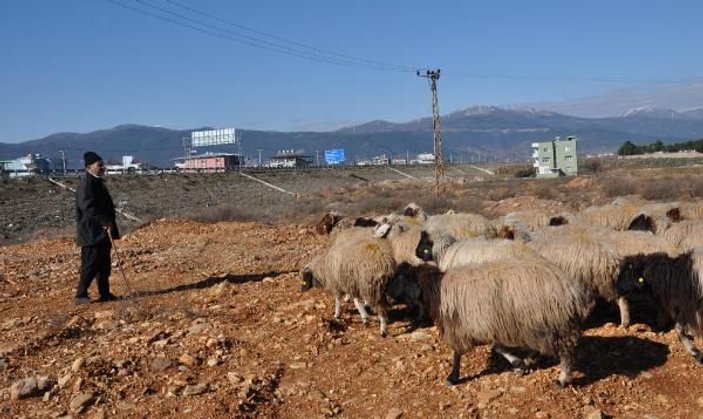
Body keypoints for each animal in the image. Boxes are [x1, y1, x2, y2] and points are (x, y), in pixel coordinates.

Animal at [388, 260, 592, 388]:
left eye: (399, 277)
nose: (387, 296)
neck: (436, 289)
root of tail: (572, 289)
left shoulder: (470, 325)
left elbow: (462, 353)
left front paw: (453, 377)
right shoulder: (484, 324)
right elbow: (496, 346)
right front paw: (520, 364)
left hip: (555, 323)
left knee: (566, 353)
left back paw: (562, 379)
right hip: (539, 324)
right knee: (543, 347)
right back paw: (531, 359)